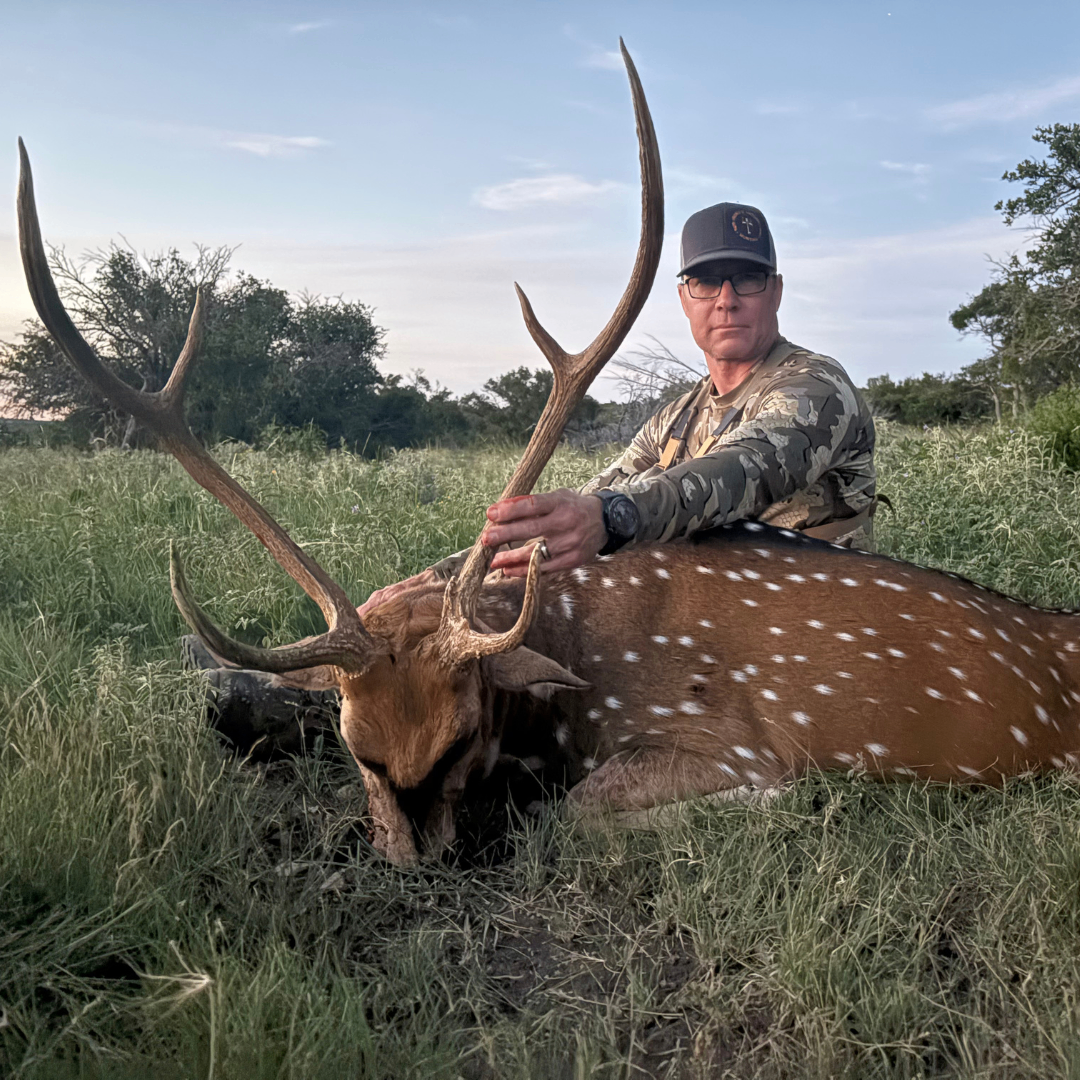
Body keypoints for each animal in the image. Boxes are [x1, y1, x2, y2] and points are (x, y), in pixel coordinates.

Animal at [18, 45, 1080, 868]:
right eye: (360, 750)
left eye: (462, 736)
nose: (417, 861)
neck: (574, 675)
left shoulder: (732, 743)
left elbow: (580, 813)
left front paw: (799, 804)